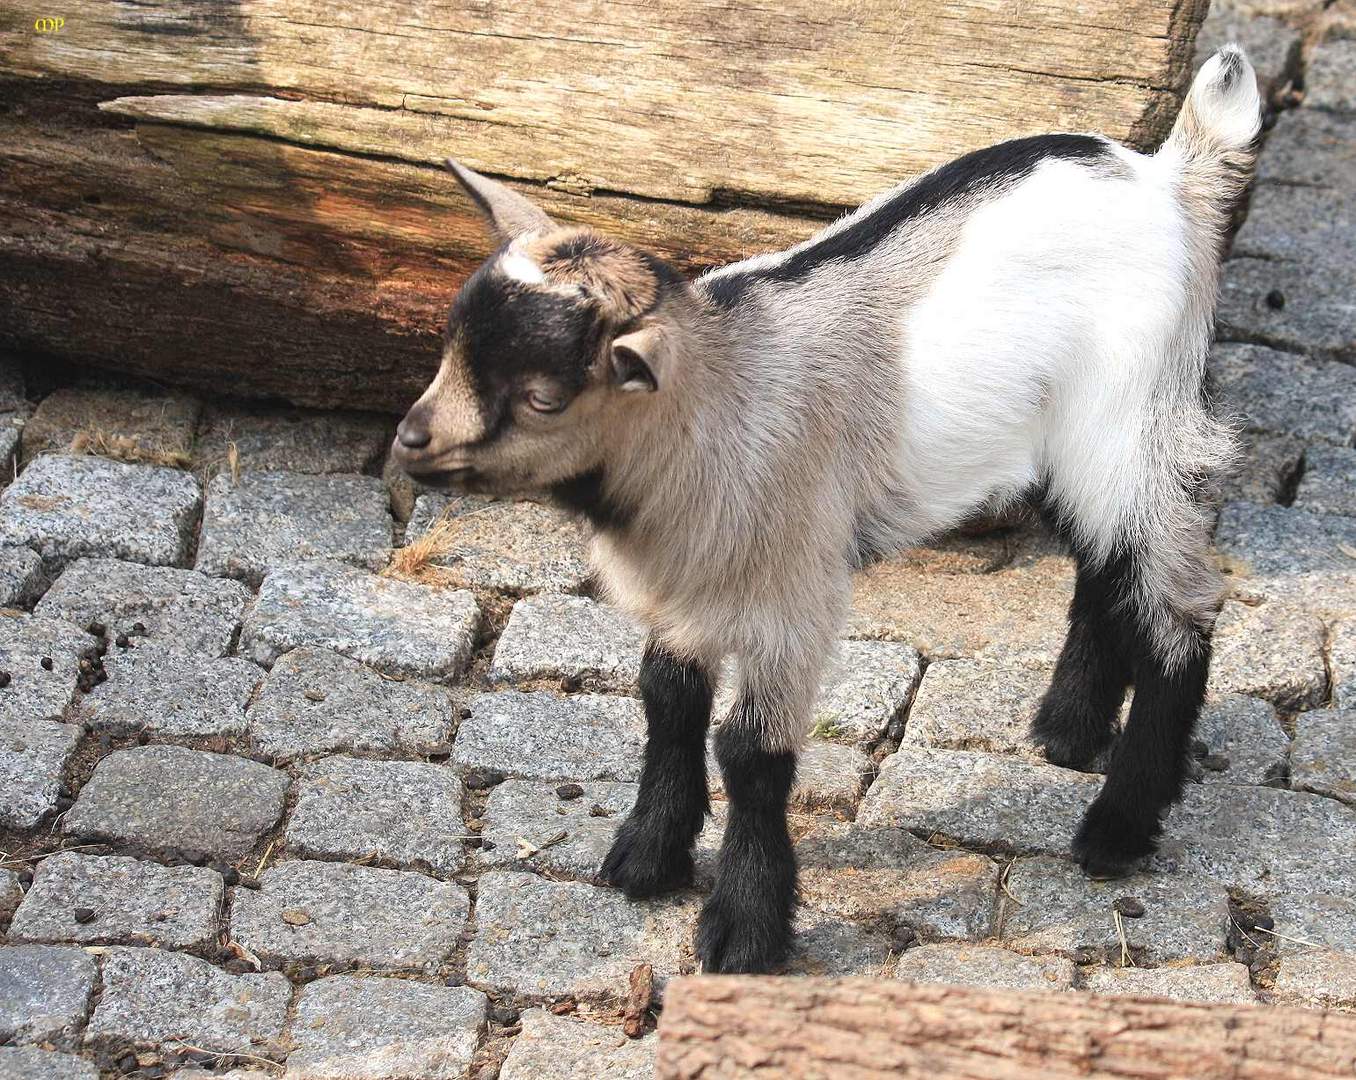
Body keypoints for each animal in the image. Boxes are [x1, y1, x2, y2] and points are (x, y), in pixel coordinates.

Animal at [393, 50, 1258, 976]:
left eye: (543, 397)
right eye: (450, 344)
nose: (409, 441)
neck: (716, 407)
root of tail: (1169, 174)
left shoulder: (792, 592)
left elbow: (750, 752)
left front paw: (742, 930)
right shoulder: (688, 583)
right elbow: (666, 696)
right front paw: (647, 858)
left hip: (1134, 415)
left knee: (1179, 607)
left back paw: (1117, 829)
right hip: (1072, 440)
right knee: (1104, 566)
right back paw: (1065, 731)